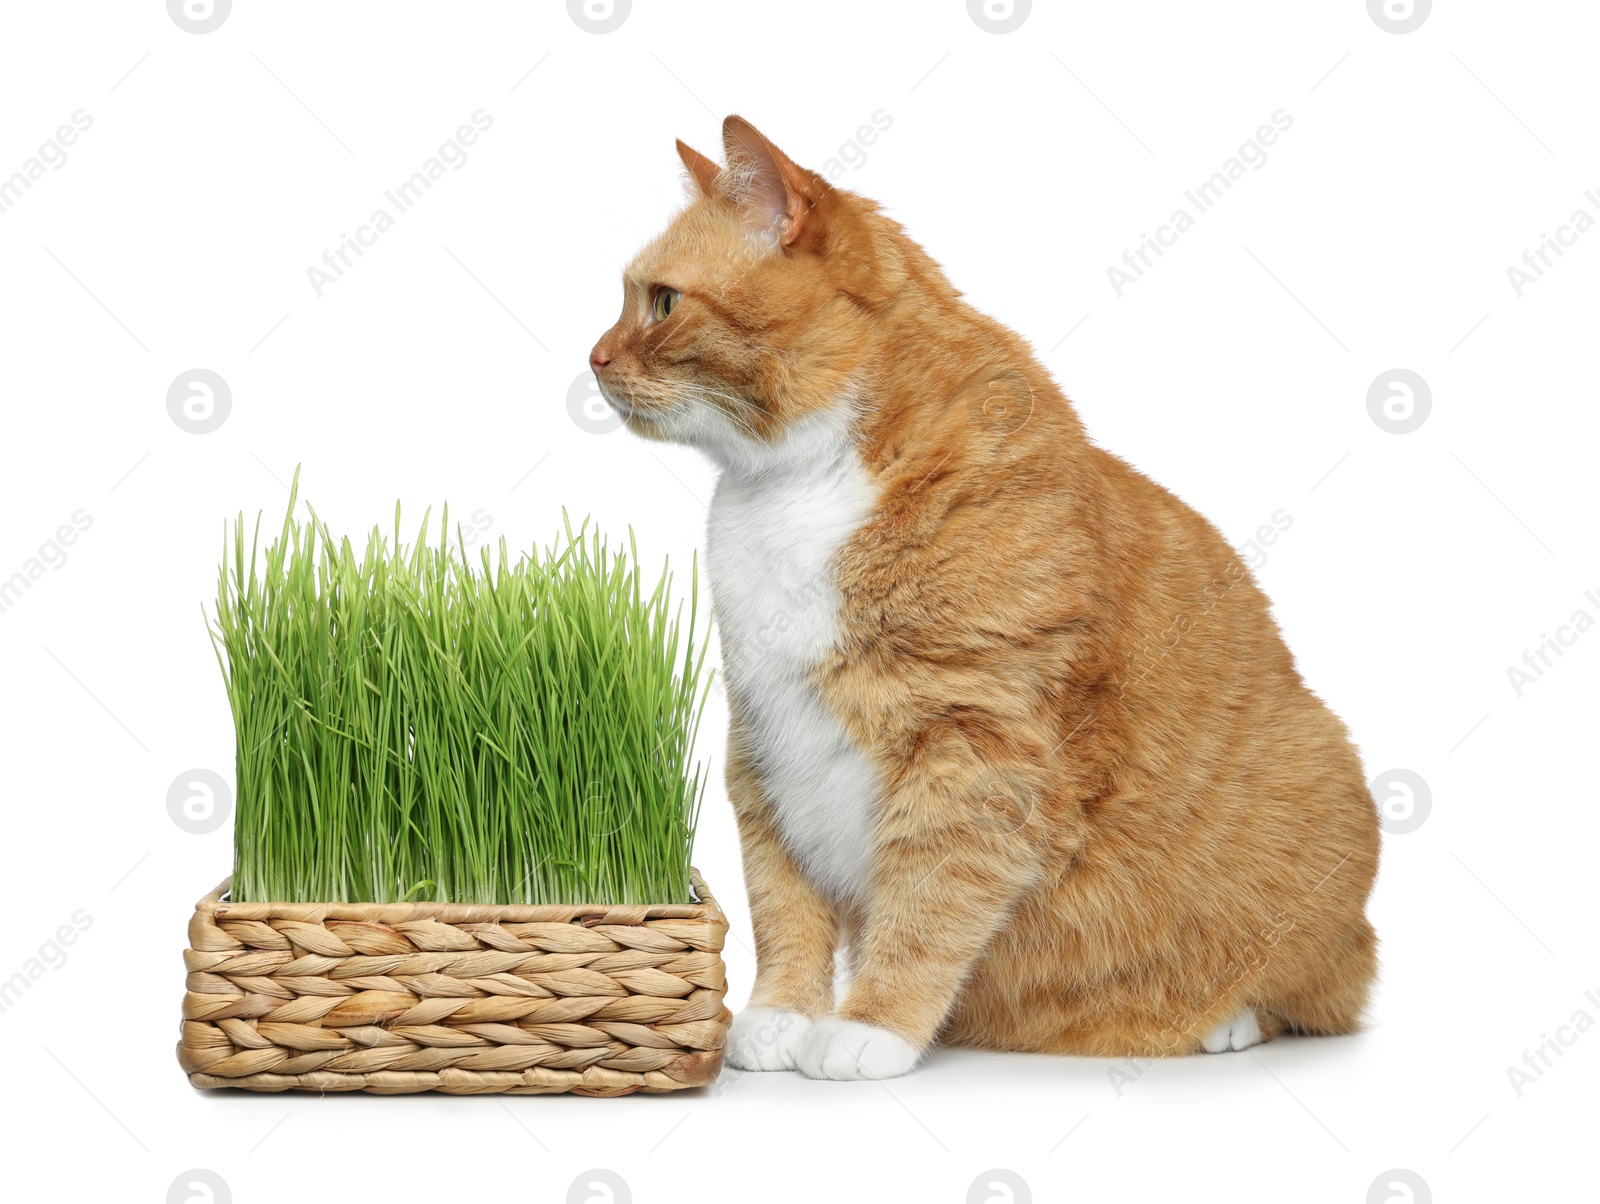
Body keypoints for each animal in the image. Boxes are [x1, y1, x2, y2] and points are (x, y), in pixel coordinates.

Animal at [595, 117, 1382, 1082]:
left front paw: (872, 1025)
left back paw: (1218, 1023)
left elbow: (930, 899)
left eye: (662, 303)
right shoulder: (765, 743)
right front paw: (783, 1013)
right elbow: (785, 905)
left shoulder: (972, 743)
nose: (592, 357)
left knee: (1312, 992)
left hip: (1320, 789)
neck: (789, 487)